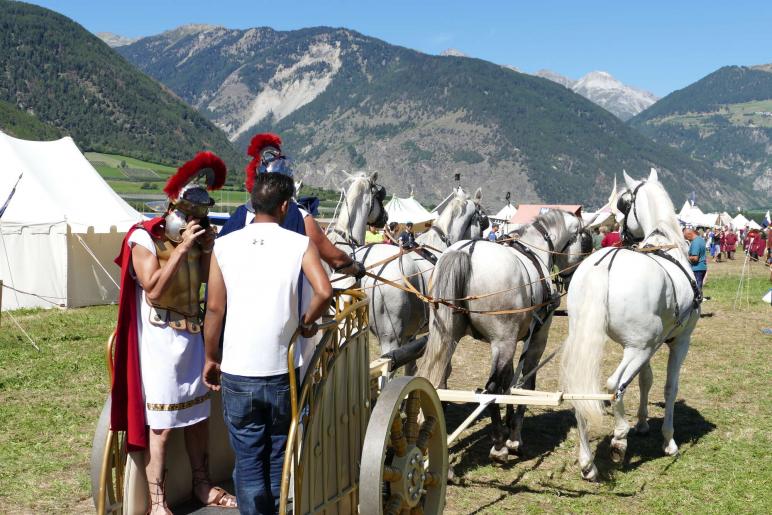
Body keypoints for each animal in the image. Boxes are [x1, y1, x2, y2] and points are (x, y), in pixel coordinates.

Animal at [416, 210, 592, 464]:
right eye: (587, 240)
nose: (574, 277)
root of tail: (466, 251)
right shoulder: (536, 338)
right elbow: (525, 383)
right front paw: (514, 436)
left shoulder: (514, 340)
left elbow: (508, 384)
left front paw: (510, 426)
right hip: (502, 341)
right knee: (489, 390)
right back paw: (499, 445)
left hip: (447, 336)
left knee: (438, 382)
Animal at [560, 169, 700, 480]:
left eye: (622, 205)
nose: (621, 233)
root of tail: (603, 265)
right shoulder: (679, 342)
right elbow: (669, 387)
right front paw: (668, 440)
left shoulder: (652, 344)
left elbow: (645, 379)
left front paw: (644, 423)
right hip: (638, 348)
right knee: (614, 384)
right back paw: (619, 437)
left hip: (605, 344)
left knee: (582, 392)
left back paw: (588, 462)